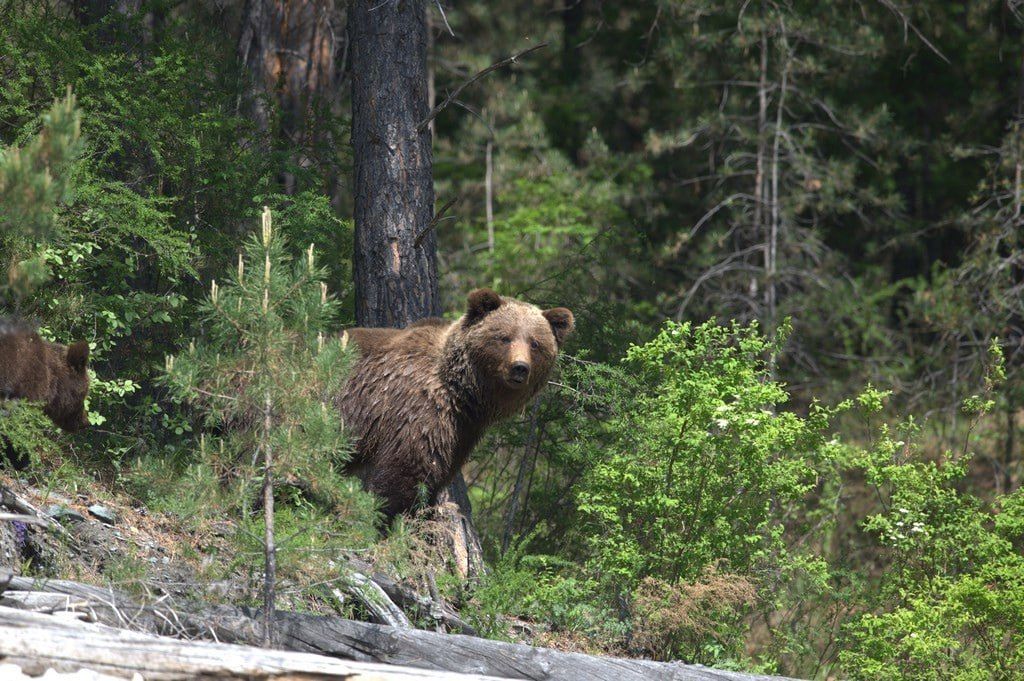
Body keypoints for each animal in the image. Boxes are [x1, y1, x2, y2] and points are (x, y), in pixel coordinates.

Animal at [339, 288, 574, 521]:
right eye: (504, 337)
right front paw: (392, 513)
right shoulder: (418, 410)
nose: (520, 368)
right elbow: (405, 471)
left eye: (535, 343)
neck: (462, 393)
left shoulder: (462, 431)